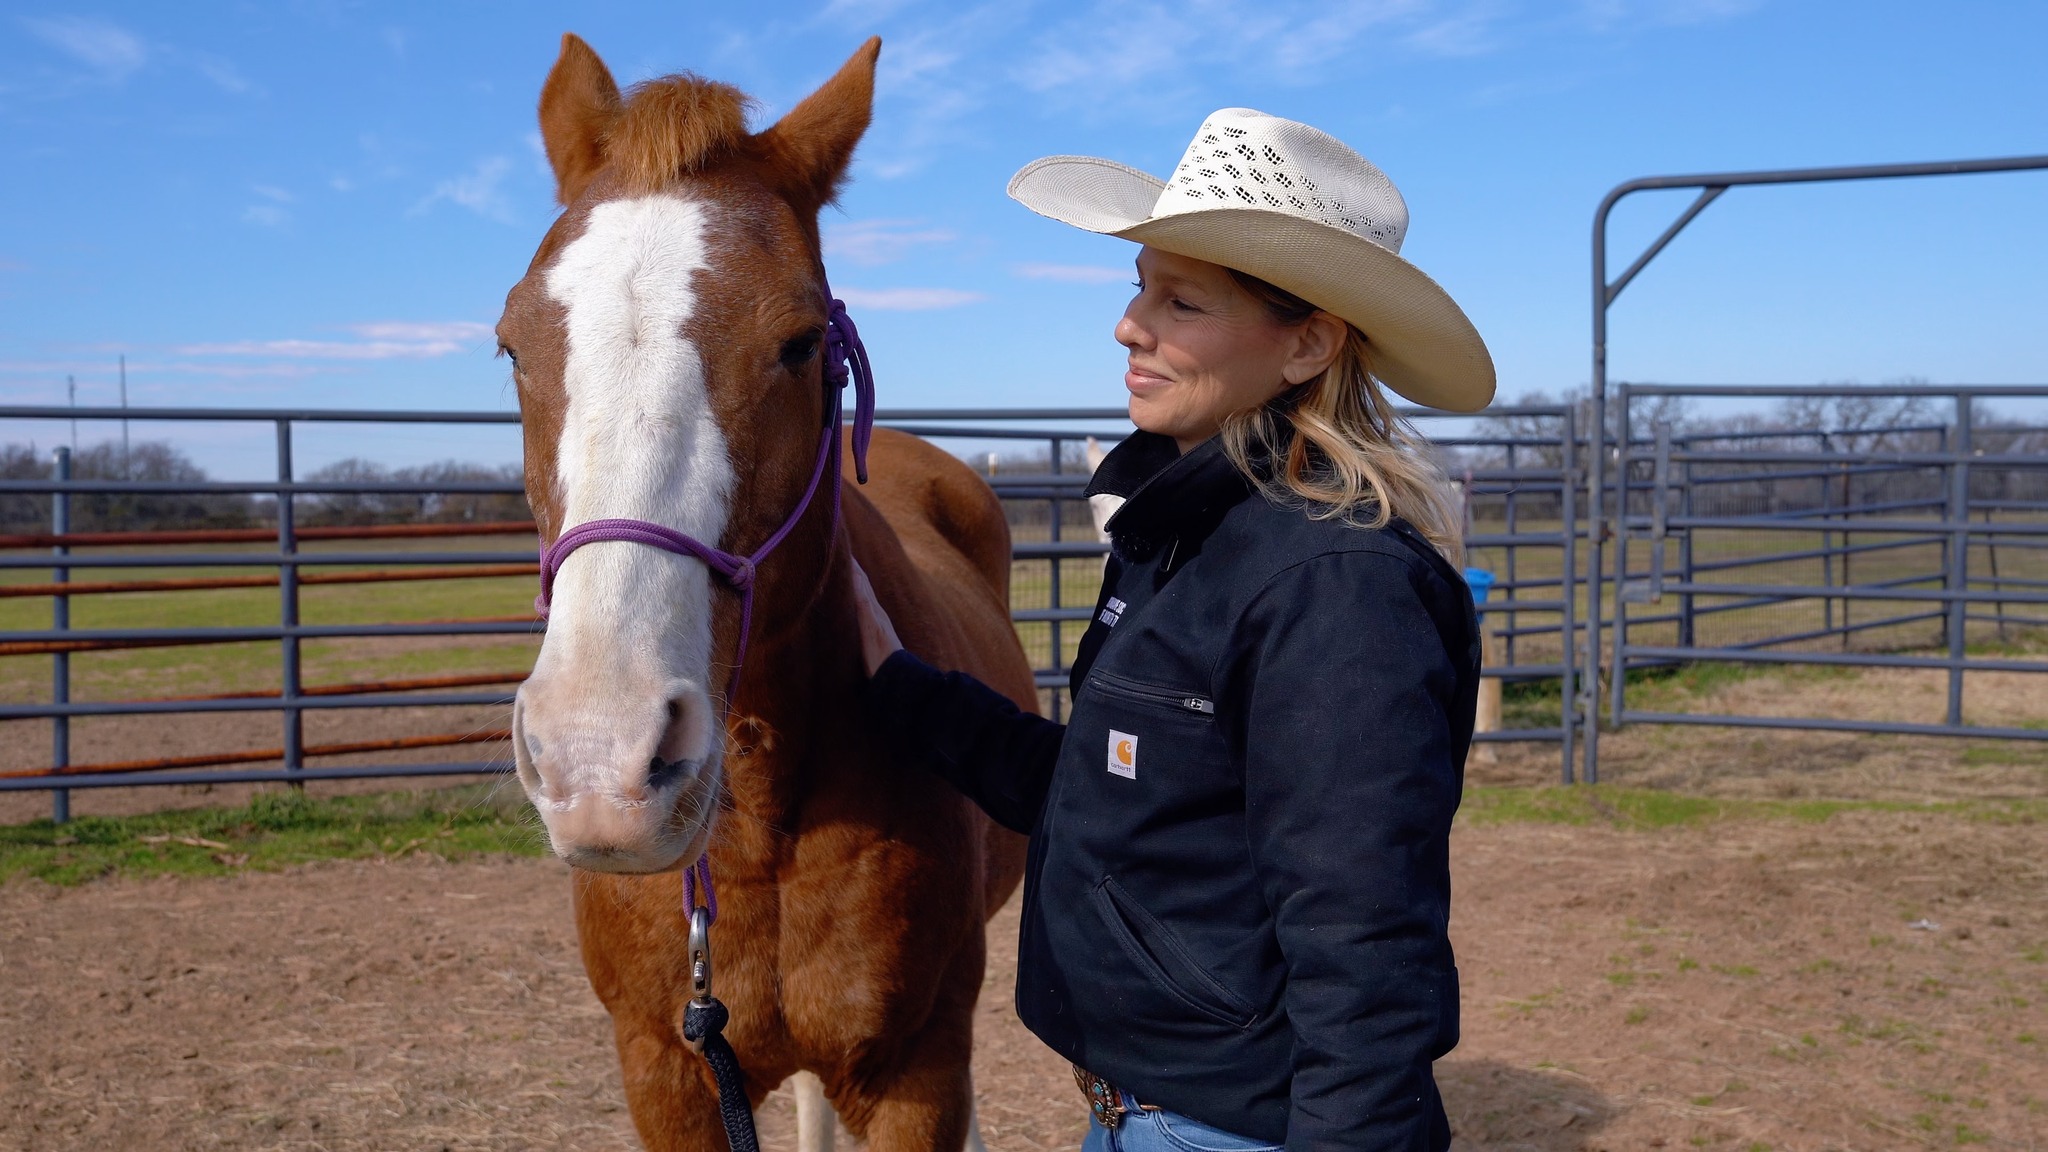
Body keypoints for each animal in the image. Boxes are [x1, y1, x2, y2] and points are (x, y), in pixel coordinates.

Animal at [494, 34, 1034, 1152]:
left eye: (799, 342)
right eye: (512, 345)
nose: (599, 759)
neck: (757, 835)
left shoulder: (921, 1073)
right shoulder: (667, 1072)